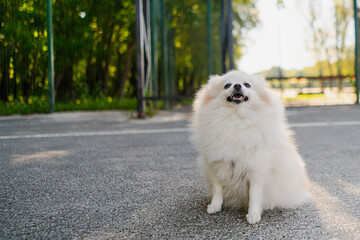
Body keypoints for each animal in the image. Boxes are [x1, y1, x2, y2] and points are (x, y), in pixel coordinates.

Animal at [190, 70, 310, 224]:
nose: (237, 85)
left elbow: (254, 194)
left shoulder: (256, 168)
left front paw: (253, 214)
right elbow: (218, 189)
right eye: (227, 85)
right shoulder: (215, 164)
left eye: (247, 84)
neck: (235, 119)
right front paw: (215, 205)